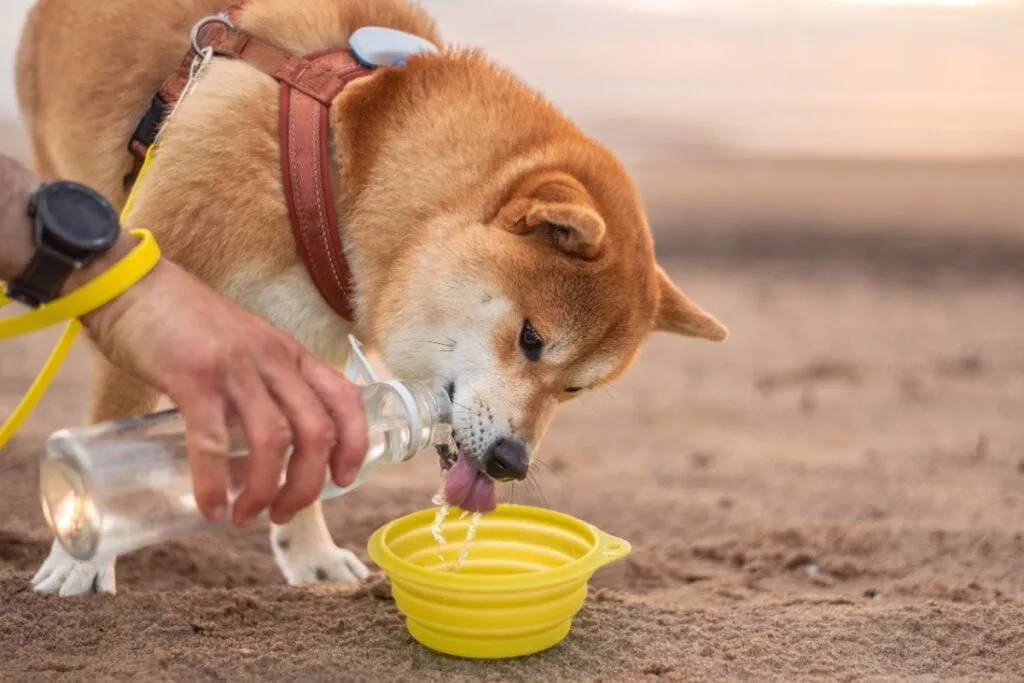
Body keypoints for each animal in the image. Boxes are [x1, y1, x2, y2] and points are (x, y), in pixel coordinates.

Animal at [12, 0, 724, 593]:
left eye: (575, 389)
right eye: (531, 339)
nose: (511, 463)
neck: (344, 167)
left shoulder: (311, 338)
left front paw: (311, 555)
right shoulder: (153, 284)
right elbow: (116, 415)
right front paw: (81, 557)